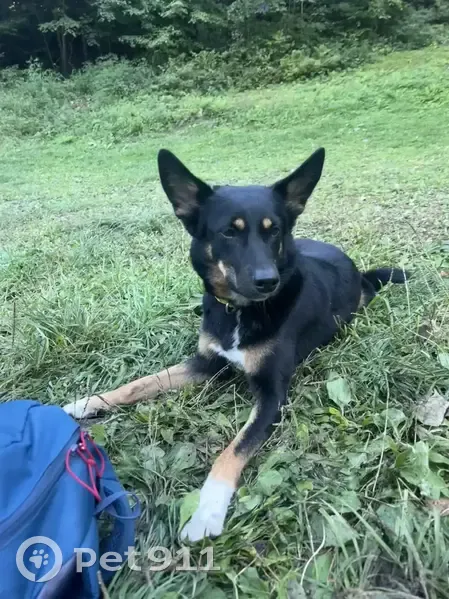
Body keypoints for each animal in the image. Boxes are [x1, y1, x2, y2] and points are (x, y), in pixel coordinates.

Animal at [64, 147, 407, 541]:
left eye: (274, 231)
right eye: (230, 231)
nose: (268, 281)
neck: (240, 312)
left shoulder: (273, 396)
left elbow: (232, 450)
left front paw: (207, 511)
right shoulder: (205, 362)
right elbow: (140, 383)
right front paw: (87, 402)